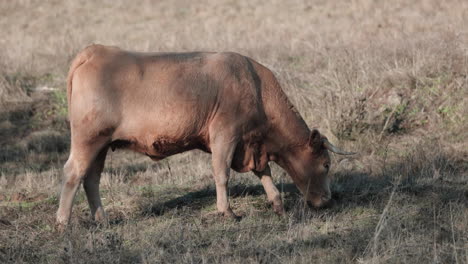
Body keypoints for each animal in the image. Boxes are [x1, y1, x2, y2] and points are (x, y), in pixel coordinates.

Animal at [56, 44, 352, 228]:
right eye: (326, 164)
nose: (328, 200)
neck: (256, 87)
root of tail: (95, 50)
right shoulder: (225, 134)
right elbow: (222, 173)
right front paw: (227, 212)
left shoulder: (251, 144)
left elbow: (264, 172)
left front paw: (277, 204)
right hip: (88, 139)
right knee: (73, 172)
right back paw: (62, 222)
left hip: (101, 145)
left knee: (91, 178)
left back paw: (102, 219)